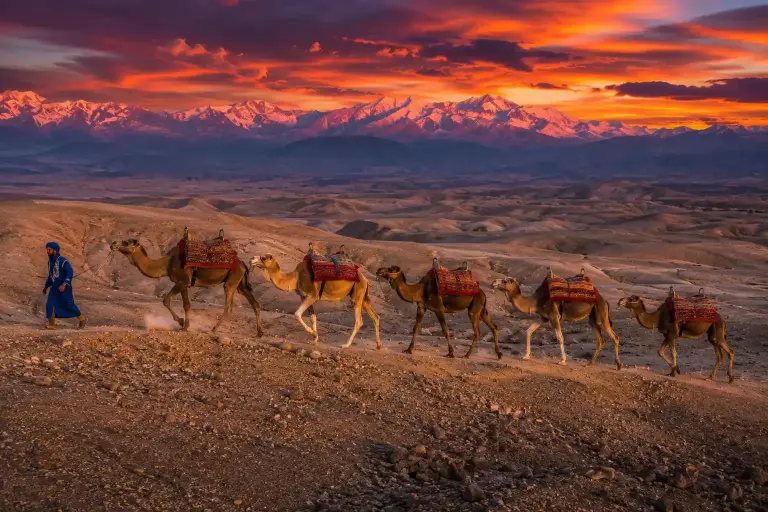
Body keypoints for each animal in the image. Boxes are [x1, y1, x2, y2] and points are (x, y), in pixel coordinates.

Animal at [110, 239, 263, 335]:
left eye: (126, 242)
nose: (112, 244)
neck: (166, 264)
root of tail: (243, 264)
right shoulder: (184, 284)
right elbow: (187, 305)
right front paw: (185, 327)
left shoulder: (181, 281)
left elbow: (166, 300)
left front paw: (181, 322)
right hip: (241, 283)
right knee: (255, 303)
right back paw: (259, 333)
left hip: (231, 281)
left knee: (229, 306)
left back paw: (213, 329)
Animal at [249, 253, 380, 349]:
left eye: (264, 257)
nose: (251, 259)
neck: (295, 277)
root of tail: (365, 279)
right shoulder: (304, 296)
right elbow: (313, 317)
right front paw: (315, 339)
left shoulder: (312, 295)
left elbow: (297, 314)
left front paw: (313, 334)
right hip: (362, 297)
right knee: (375, 317)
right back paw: (378, 345)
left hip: (357, 294)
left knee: (359, 321)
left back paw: (346, 345)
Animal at [491, 276, 622, 369]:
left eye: (504, 281)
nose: (493, 283)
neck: (536, 301)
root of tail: (605, 301)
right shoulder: (543, 318)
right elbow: (529, 331)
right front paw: (526, 356)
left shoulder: (554, 316)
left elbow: (560, 337)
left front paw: (562, 361)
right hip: (593, 317)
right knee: (600, 340)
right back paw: (590, 363)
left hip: (601, 313)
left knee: (614, 337)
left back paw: (618, 365)